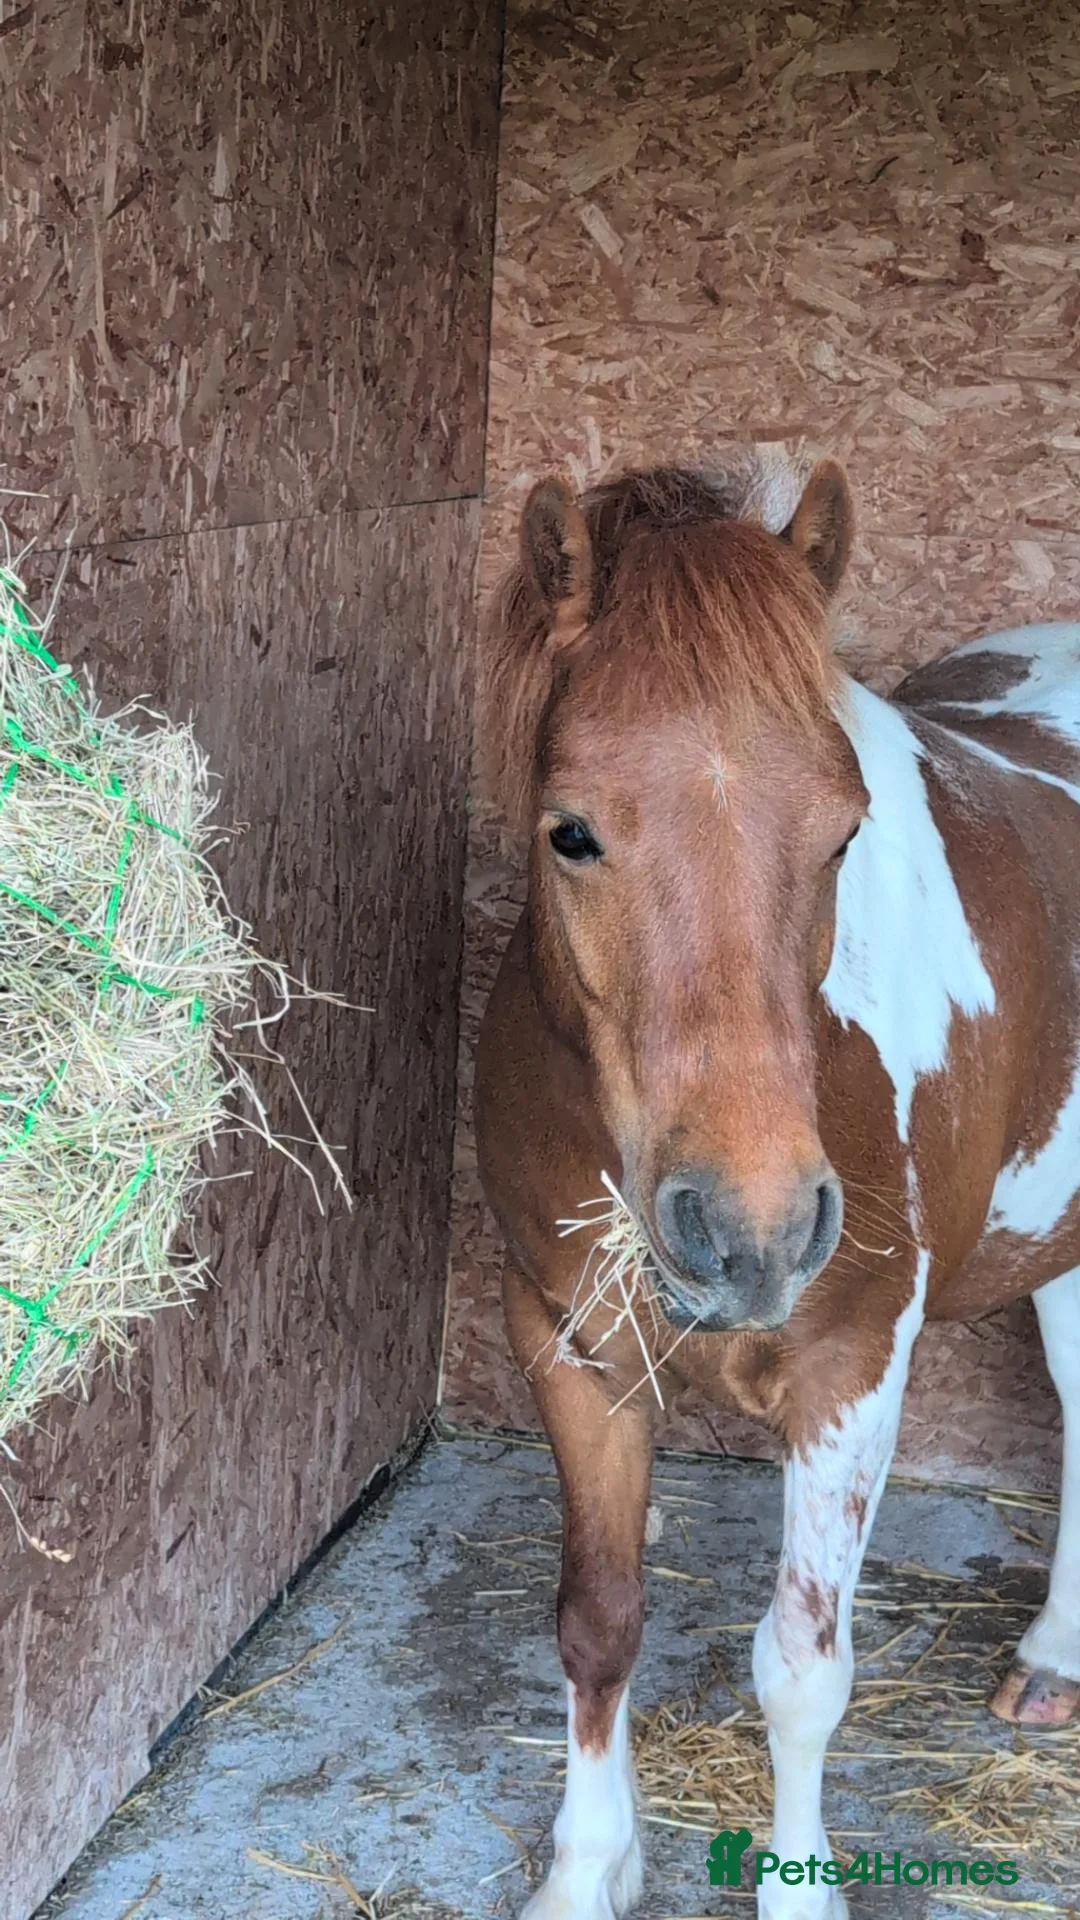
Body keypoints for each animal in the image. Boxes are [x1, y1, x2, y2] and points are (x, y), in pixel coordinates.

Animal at [473, 448, 1080, 1920]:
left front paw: (798, 1888)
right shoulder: (572, 1346)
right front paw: (588, 1871)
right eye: (571, 833)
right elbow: (599, 1623)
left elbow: (802, 1672)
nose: (749, 1233)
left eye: (847, 830)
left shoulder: (855, 1369)